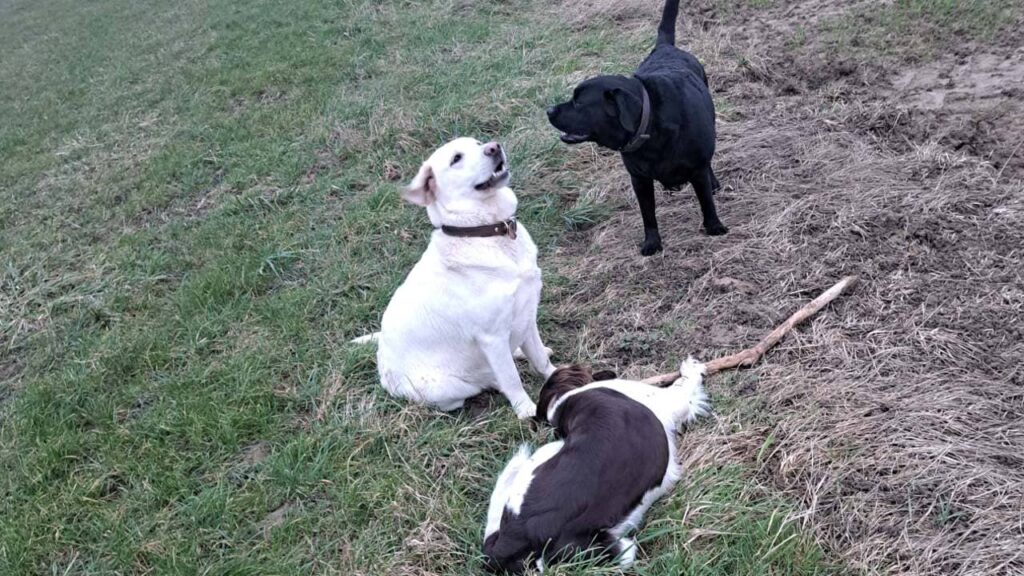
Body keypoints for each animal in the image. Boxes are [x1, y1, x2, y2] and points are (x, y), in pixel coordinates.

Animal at [356, 139, 557, 416]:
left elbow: (540, 359)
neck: (484, 233)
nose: (494, 147)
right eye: (456, 159)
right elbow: (511, 379)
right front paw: (526, 410)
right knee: (484, 382)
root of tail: (381, 361)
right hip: (447, 388)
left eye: (478, 143)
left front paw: (560, 376)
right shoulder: (492, 337)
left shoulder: (527, 314)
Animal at [481, 358, 708, 569]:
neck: (561, 400)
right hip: (546, 453)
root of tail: (514, 539)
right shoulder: (671, 400)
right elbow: (685, 383)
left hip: (611, 549)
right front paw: (692, 367)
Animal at [548, 0, 724, 253]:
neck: (650, 127)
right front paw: (652, 243)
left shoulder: (697, 168)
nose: (549, 110)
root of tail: (665, 48)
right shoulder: (639, 179)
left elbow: (706, 201)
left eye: (579, 102)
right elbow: (648, 214)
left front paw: (714, 227)